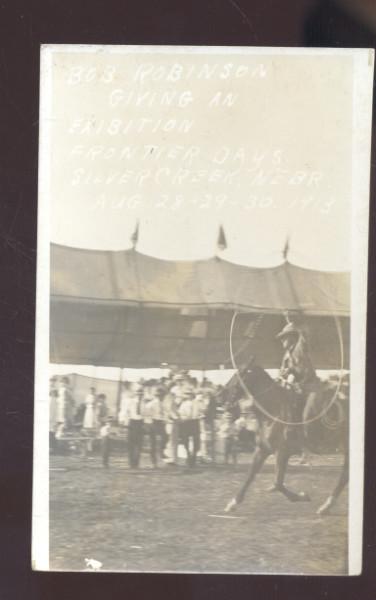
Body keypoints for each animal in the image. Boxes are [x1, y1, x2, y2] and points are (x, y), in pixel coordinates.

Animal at [223, 364, 350, 512]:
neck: (272, 410)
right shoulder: (263, 449)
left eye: (238, 374)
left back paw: (327, 505)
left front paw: (302, 496)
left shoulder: (282, 452)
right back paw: (327, 505)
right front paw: (233, 502)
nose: (221, 395)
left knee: (344, 474)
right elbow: (251, 475)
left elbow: (277, 483)